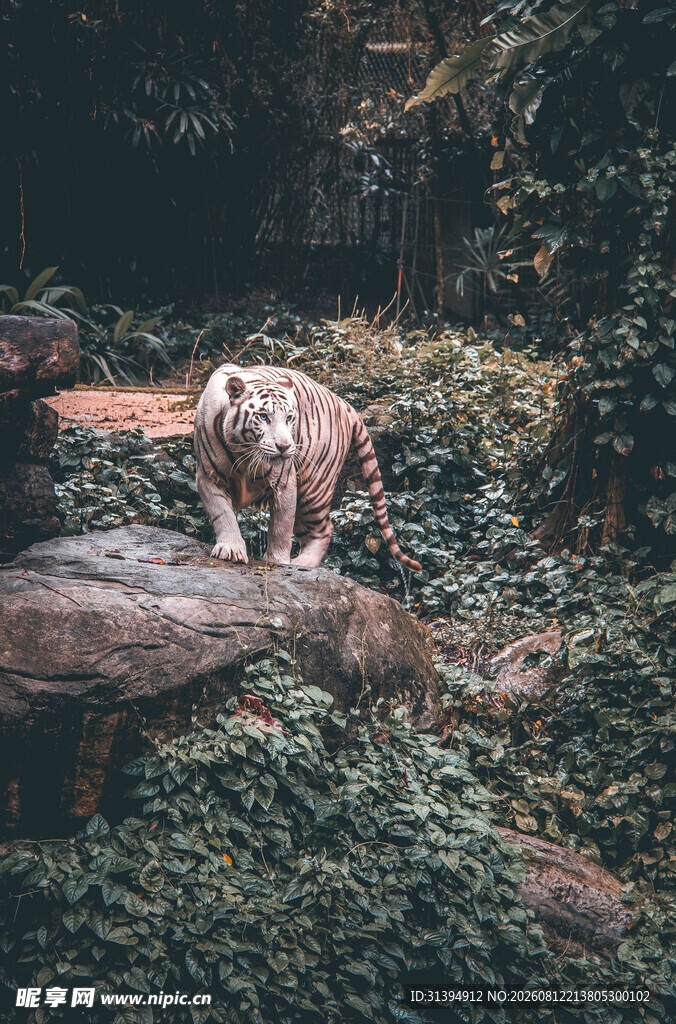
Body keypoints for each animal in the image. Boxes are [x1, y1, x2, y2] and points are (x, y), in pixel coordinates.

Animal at [193, 363, 422, 573]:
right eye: (263, 416)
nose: (284, 446)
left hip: (314, 489)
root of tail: (341, 401)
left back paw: (303, 563)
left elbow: (281, 526)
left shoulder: (285, 483)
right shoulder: (208, 477)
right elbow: (223, 514)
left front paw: (277, 561)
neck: (245, 453)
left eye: (289, 418)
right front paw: (231, 550)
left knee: (325, 529)